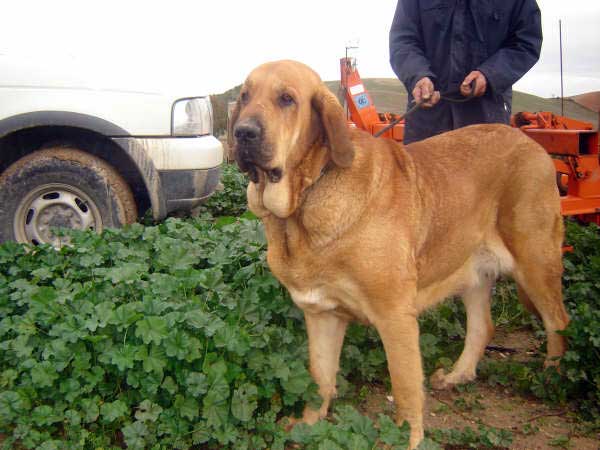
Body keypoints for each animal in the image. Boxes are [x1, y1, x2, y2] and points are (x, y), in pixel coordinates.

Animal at [227, 60, 568, 450]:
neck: (304, 200)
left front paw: (404, 437)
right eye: (245, 96)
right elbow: (320, 377)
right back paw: (457, 375)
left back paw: (553, 377)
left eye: (287, 99)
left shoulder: (394, 316)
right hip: (472, 271)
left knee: (558, 321)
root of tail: (532, 144)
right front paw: (309, 424)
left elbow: (404, 387)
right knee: (483, 326)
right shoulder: (322, 313)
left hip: (535, 261)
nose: (243, 132)